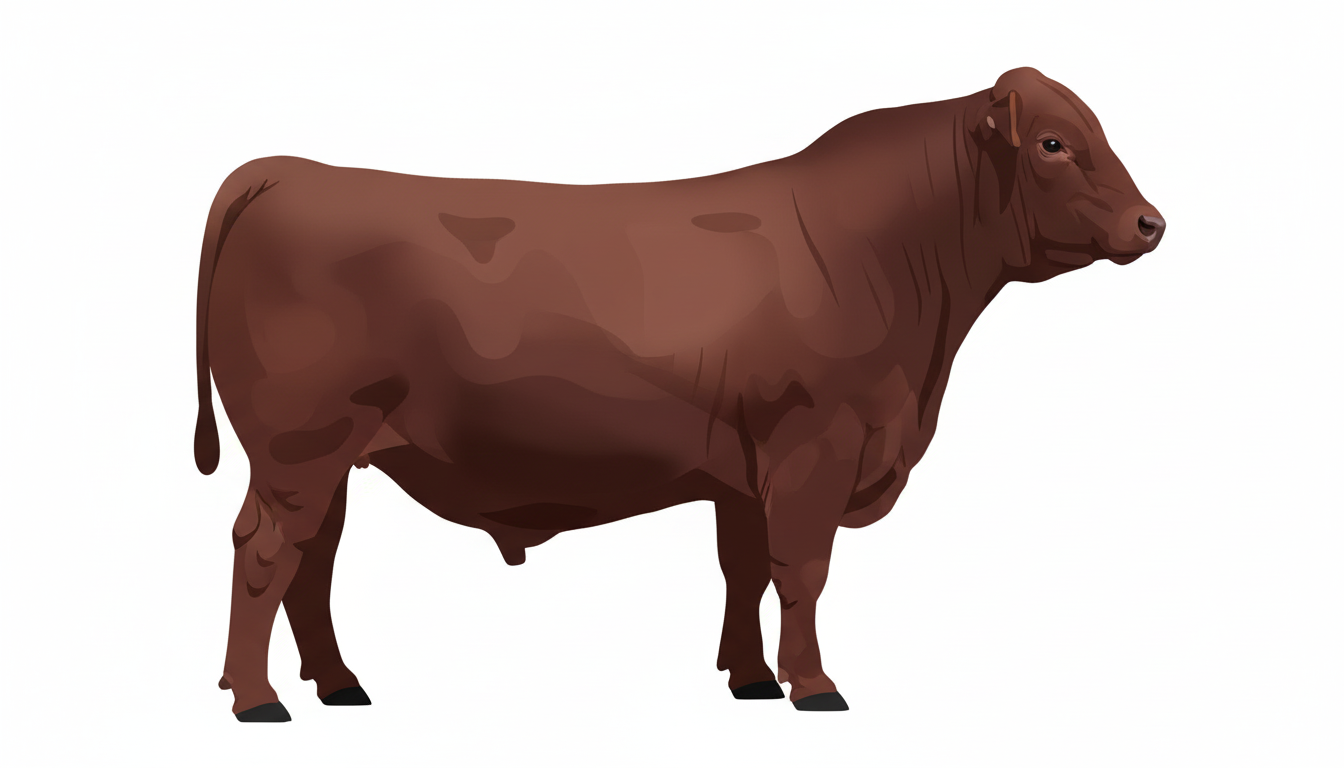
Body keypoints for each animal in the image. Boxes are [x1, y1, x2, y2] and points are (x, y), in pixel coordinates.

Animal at [195, 67, 1166, 721]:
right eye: (1052, 142)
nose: (1150, 222)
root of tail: (283, 168)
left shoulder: (747, 464)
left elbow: (746, 568)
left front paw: (753, 678)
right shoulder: (815, 443)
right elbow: (802, 568)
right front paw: (814, 685)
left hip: (331, 455)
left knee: (312, 561)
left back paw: (336, 684)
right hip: (301, 446)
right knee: (266, 552)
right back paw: (257, 698)